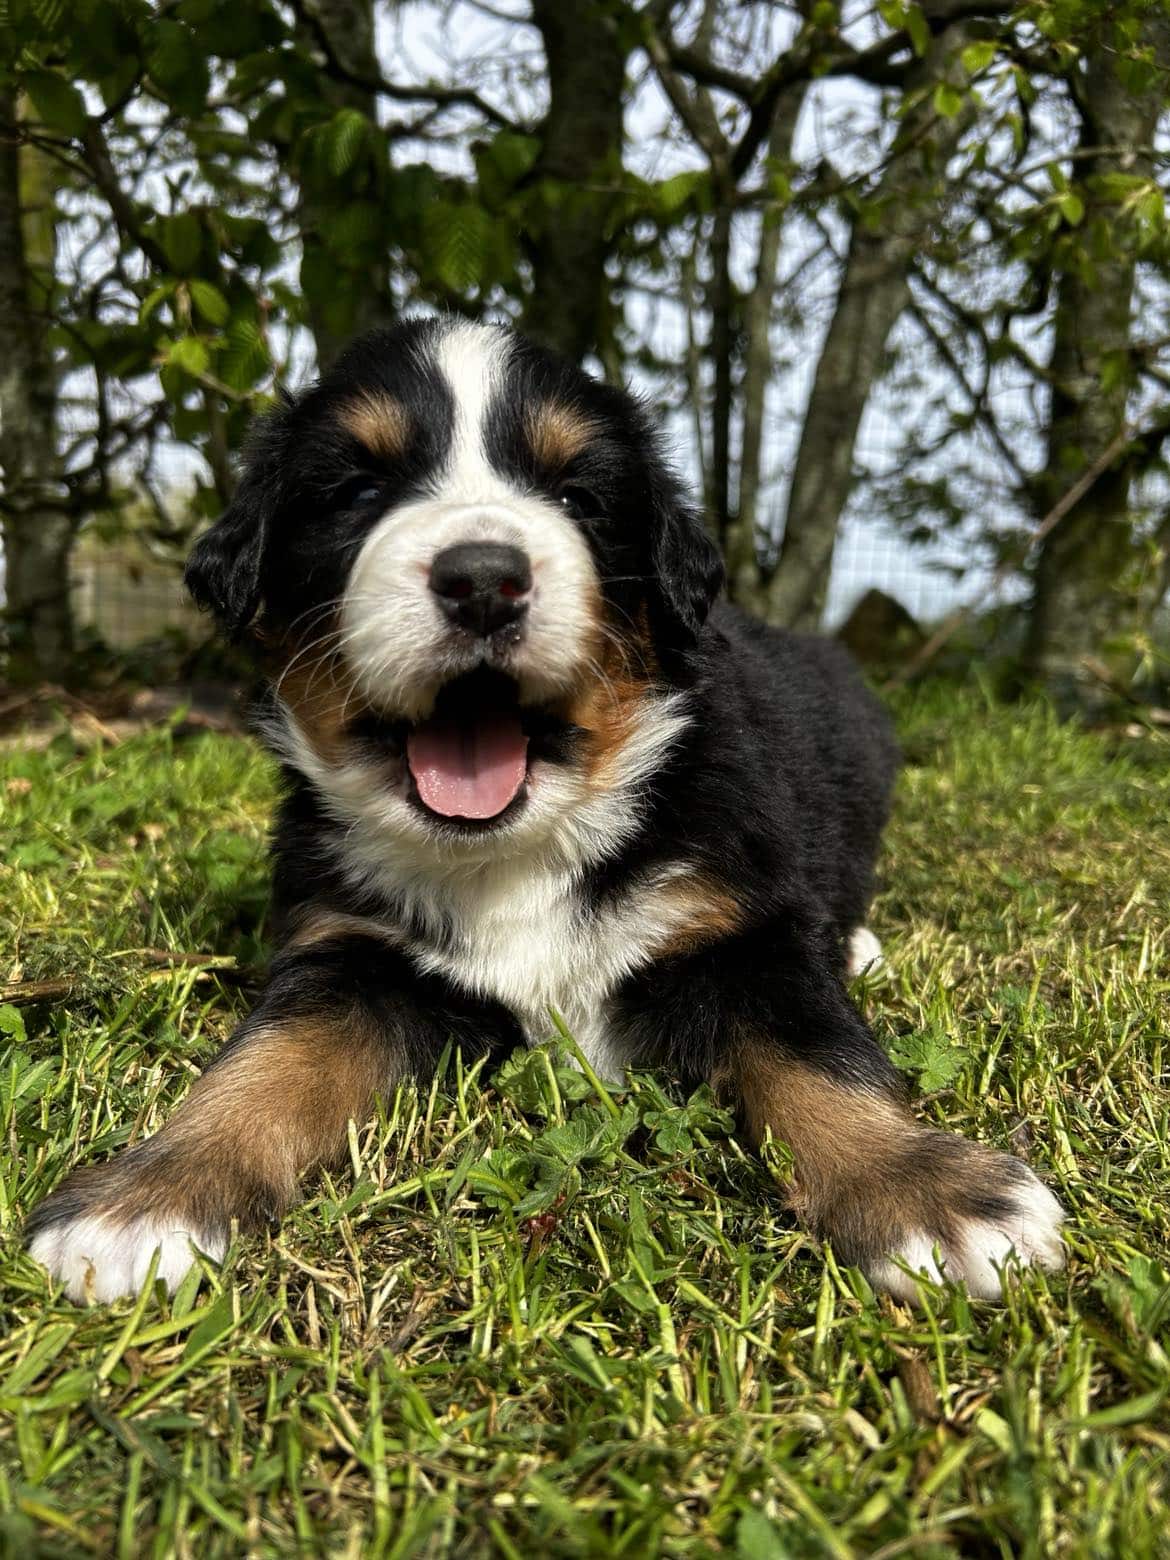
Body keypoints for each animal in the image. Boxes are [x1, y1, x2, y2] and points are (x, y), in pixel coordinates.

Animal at [27, 316, 1073, 1304]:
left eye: (579, 498)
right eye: (356, 491)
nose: (483, 578)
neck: (514, 849)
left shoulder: (734, 927)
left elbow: (821, 1056)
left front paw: (928, 1191)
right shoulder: (348, 948)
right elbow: (264, 1060)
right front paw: (151, 1194)